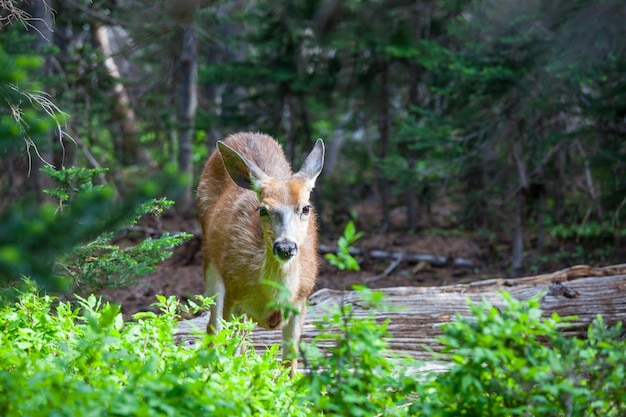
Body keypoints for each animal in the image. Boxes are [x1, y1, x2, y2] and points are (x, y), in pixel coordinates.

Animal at [196, 131, 324, 374]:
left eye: (306, 208)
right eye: (263, 209)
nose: (285, 247)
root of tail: (244, 134)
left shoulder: (301, 301)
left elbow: (290, 363)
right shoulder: (233, 293)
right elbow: (230, 350)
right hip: (210, 260)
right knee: (212, 328)